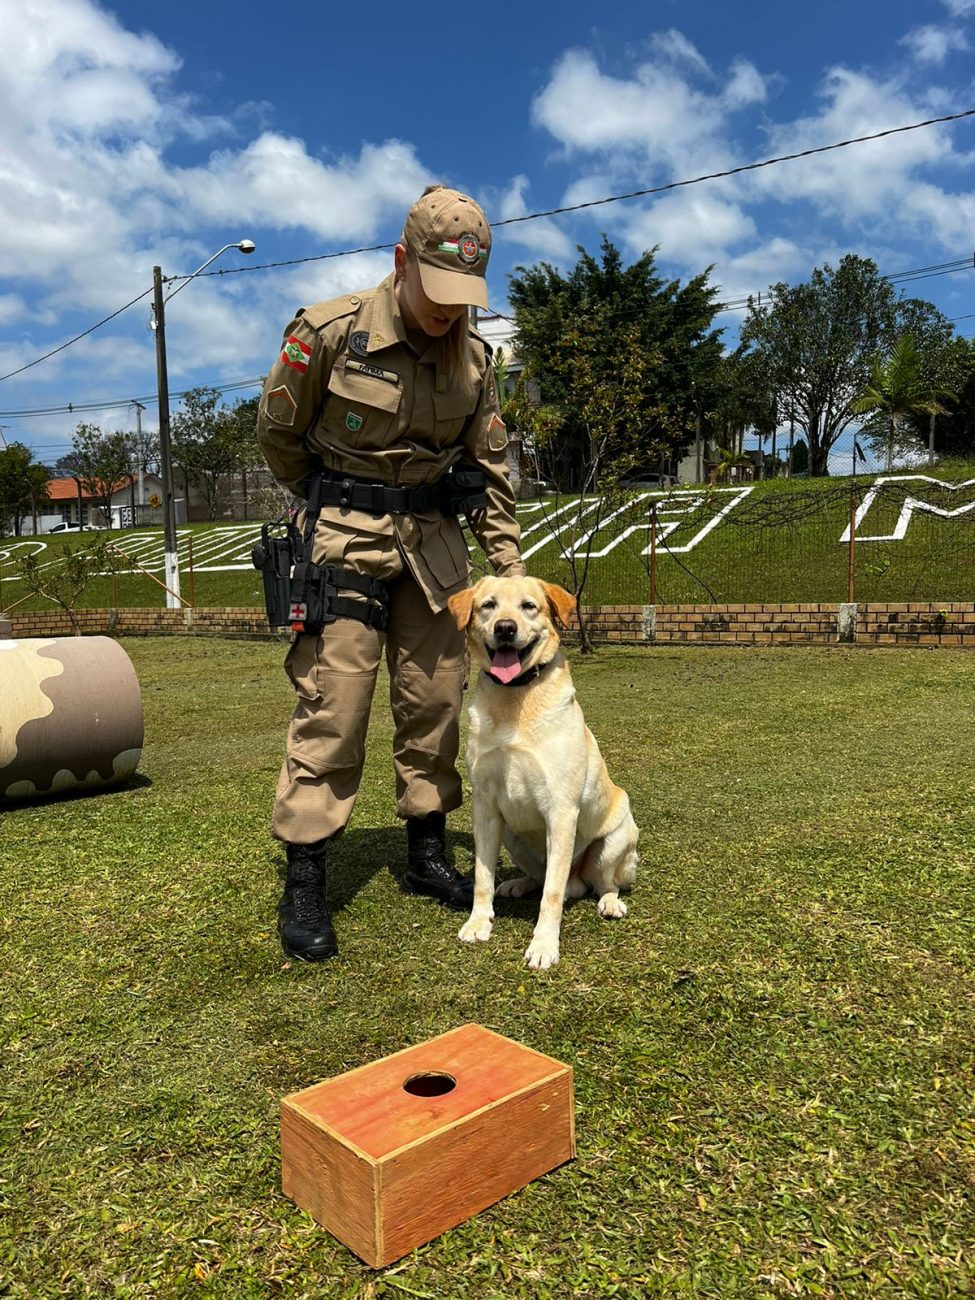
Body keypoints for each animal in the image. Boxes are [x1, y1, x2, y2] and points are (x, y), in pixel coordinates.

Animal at [447, 577, 637, 967]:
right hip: (512, 836)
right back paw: (518, 884)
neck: (514, 697)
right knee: (540, 876)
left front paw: (544, 945)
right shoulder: (485, 808)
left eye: (528, 606)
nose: (505, 628)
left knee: (602, 884)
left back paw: (609, 903)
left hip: (615, 842)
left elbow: (552, 893)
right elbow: (482, 877)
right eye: (489, 605)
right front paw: (478, 922)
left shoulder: (562, 811)